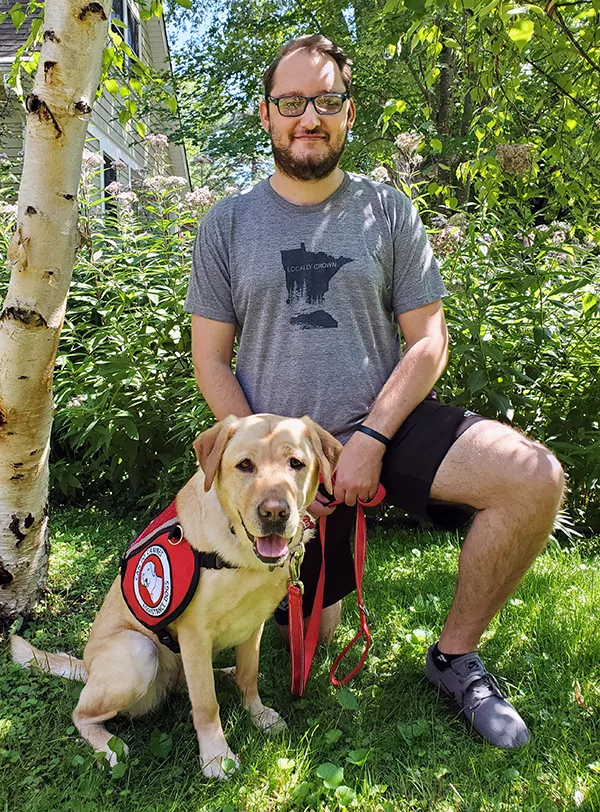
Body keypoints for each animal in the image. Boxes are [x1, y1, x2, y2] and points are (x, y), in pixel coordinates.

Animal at [11, 416, 342, 776]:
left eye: (296, 463)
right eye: (244, 465)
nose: (275, 513)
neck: (239, 553)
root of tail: (86, 668)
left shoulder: (253, 624)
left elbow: (249, 675)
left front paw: (258, 714)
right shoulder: (194, 634)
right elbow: (206, 704)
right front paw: (216, 756)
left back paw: (223, 673)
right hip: (137, 651)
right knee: (82, 713)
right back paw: (109, 747)